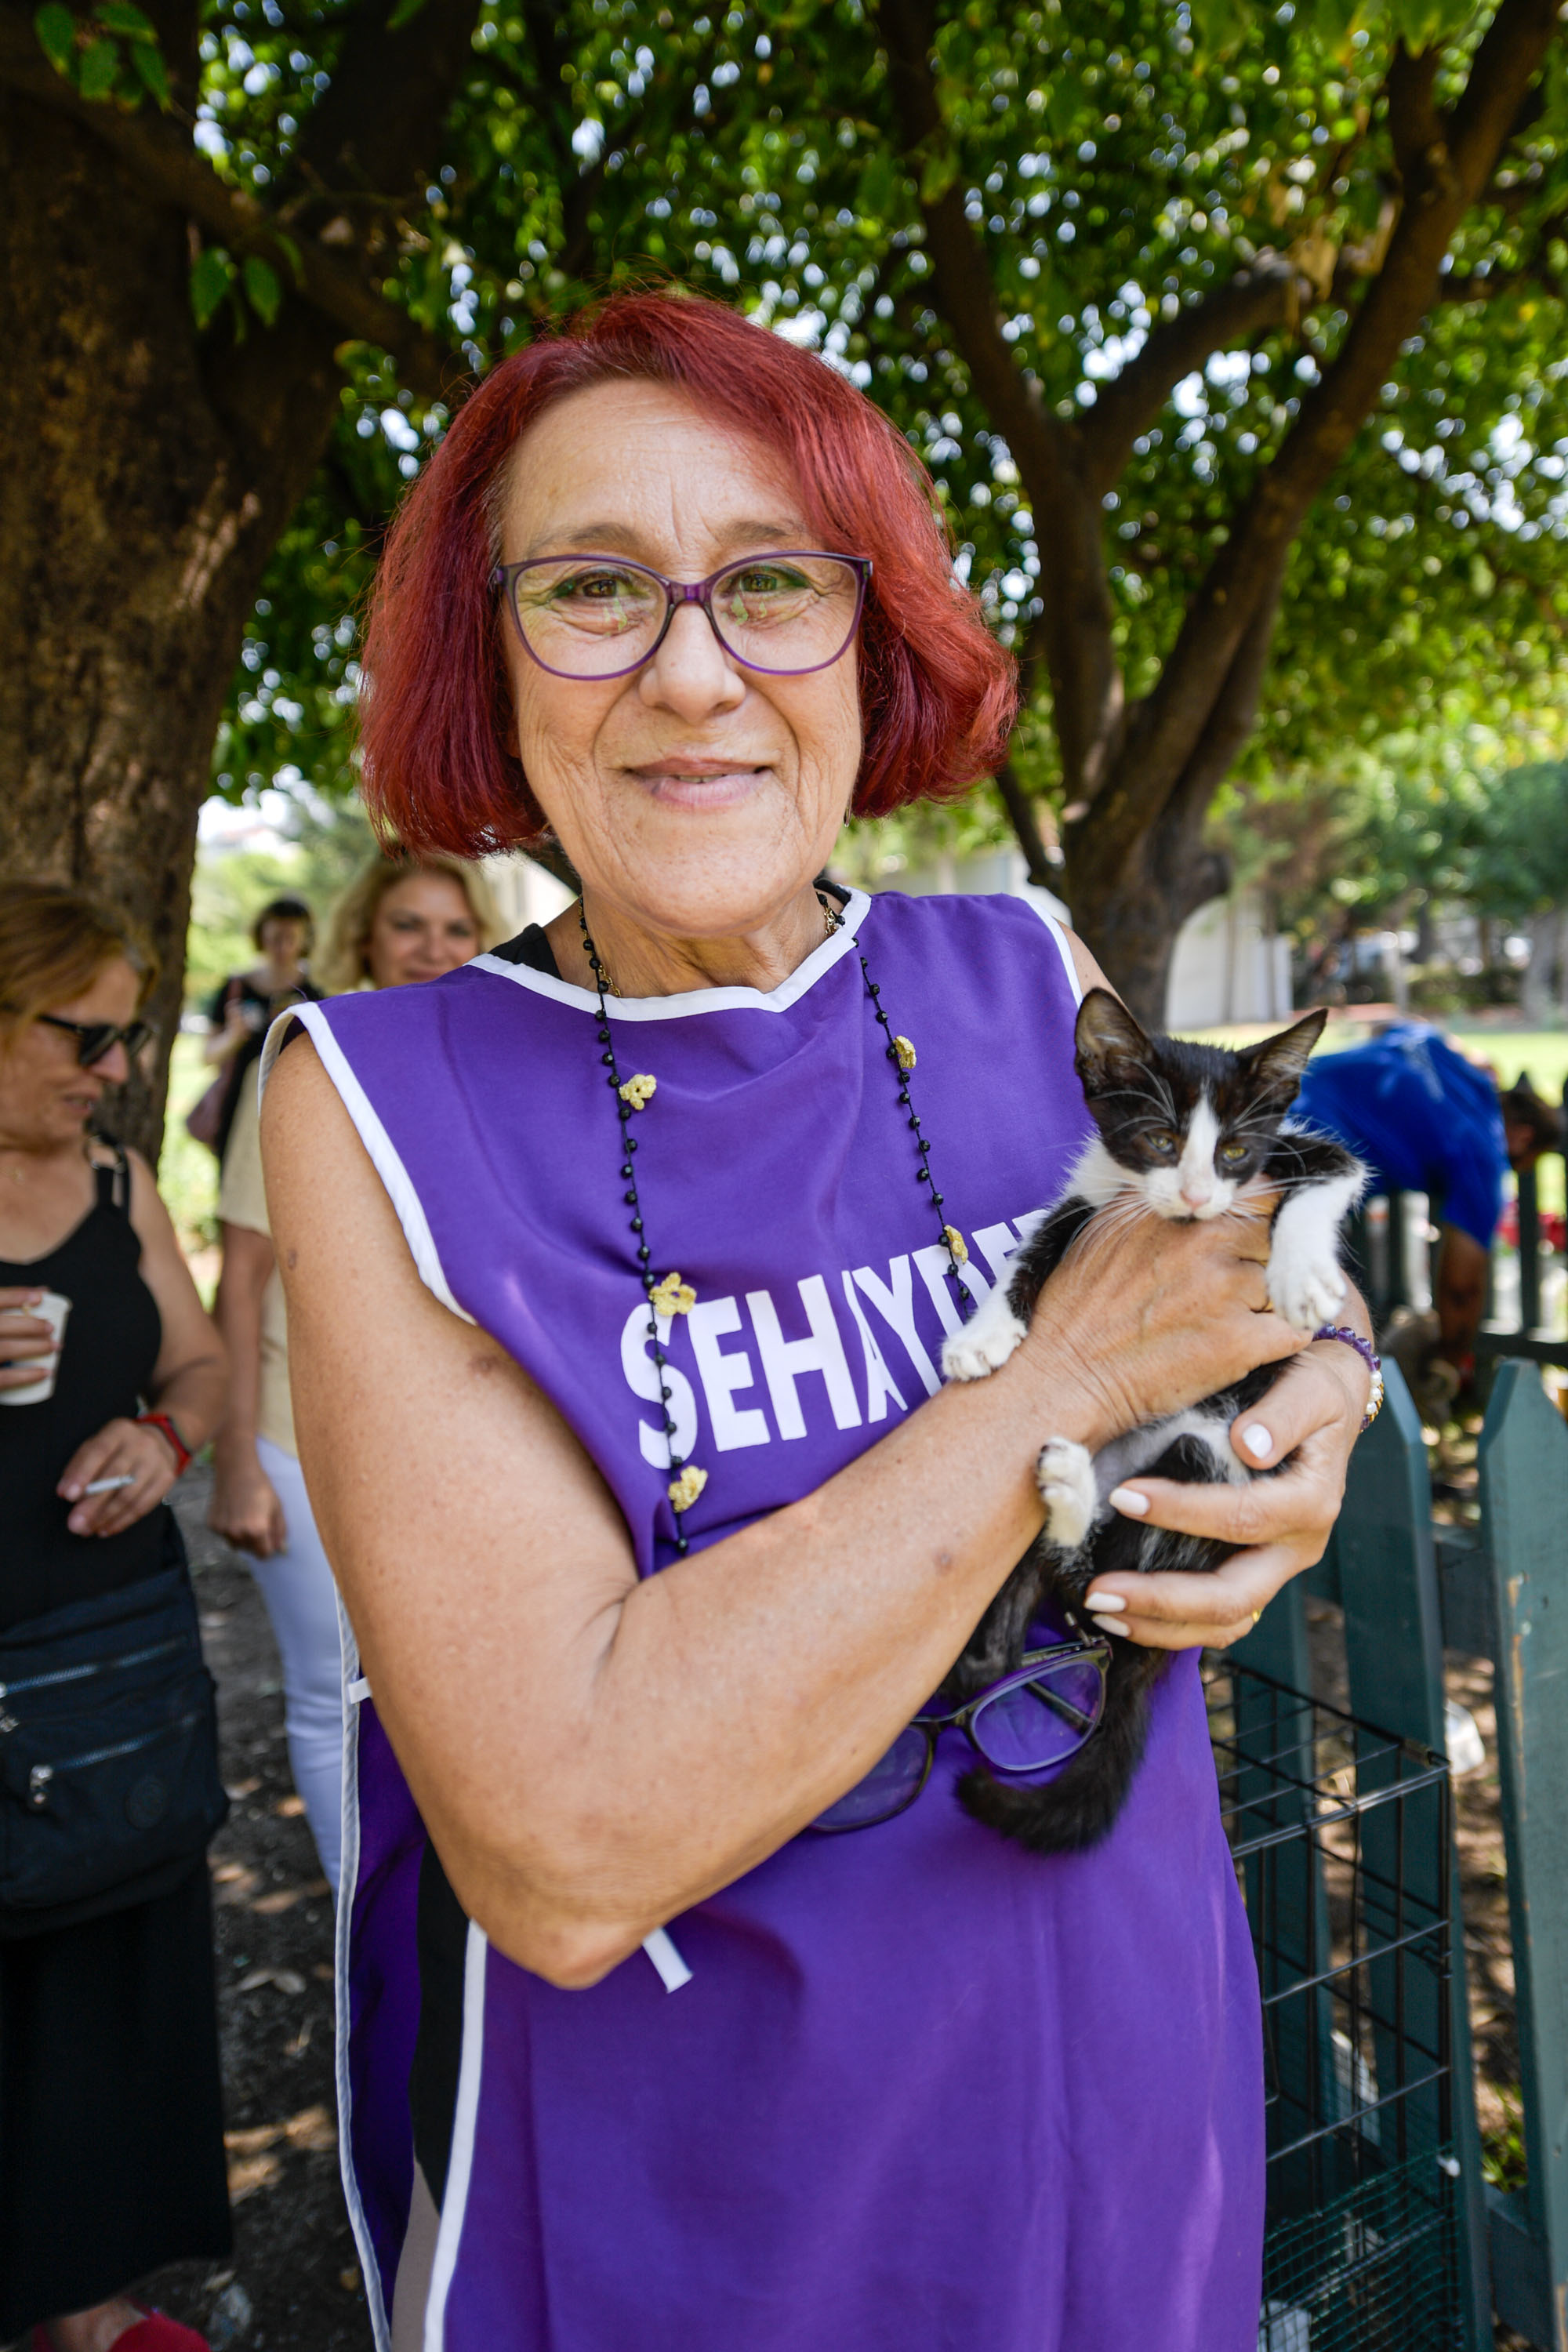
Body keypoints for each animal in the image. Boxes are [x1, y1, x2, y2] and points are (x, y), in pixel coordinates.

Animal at [940, 988, 1363, 1853]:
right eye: (1161, 1141)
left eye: (1234, 1152)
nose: (1197, 1198)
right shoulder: (1088, 1202)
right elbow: (1031, 1253)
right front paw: (983, 1334)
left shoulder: (1303, 1151)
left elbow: (1328, 1179)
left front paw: (1301, 1275)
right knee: (1037, 1626)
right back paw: (1064, 1494)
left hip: (1208, 1464)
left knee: (1100, 1584)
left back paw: (1069, 1491)